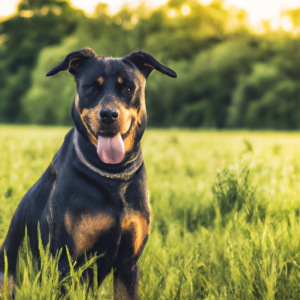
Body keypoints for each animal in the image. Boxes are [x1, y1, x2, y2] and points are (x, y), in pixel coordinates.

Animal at [0, 47, 176, 298]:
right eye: (91, 87)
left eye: (127, 89)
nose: (109, 115)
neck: (111, 175)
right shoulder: (65, 263)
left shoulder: (128, 264)